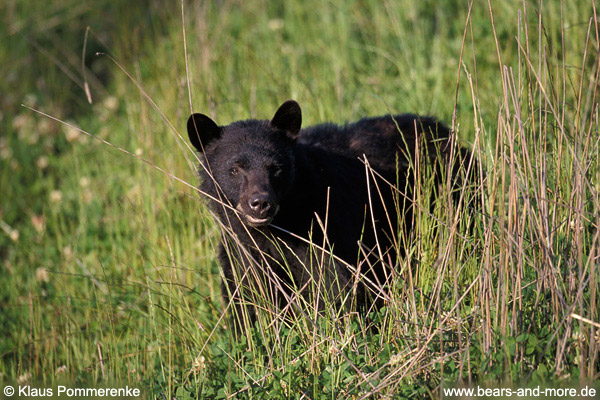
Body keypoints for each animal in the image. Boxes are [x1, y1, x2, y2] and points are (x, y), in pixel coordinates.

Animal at [185, 99, 476, 328]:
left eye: (276, 167)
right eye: (235, 169)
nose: (260, 203)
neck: (275, 229)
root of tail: (444, 131)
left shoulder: (325, 231)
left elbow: (334, 289)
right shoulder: (240, 251)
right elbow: (247, 302)